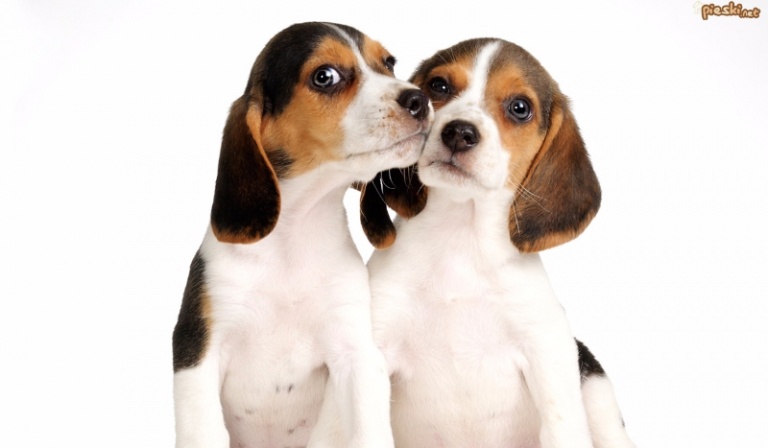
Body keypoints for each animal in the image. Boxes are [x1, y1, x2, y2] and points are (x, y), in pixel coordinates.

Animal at [172, 22, 432, 448]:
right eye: (325, 76)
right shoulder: (197, 352)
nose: (420, 100)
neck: (292, 239)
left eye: (389, 63)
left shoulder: (357, 358)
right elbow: (202, 431)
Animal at [359, 38, 635, 447]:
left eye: (520, 108)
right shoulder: (373, 347)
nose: (459, 132)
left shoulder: (547, 353)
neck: (460, 237)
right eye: (439, 86)